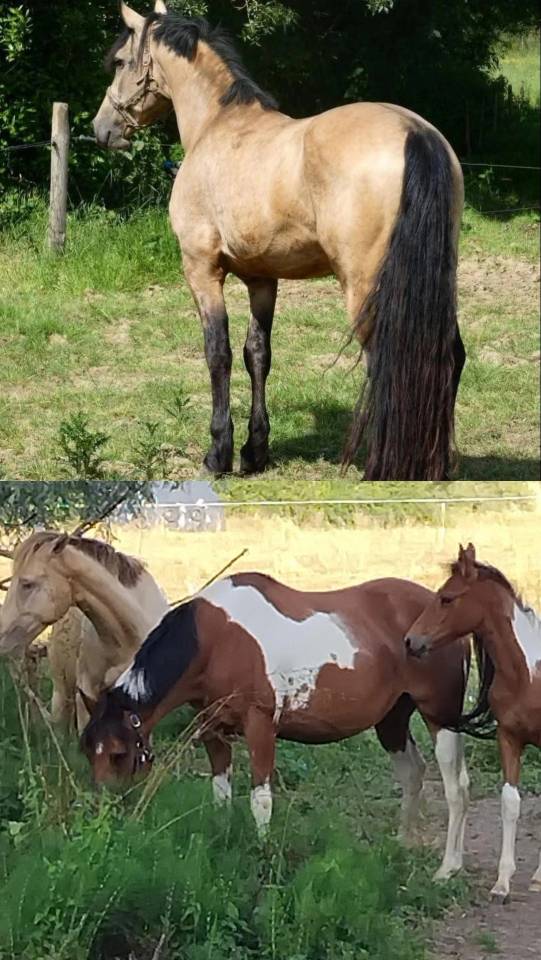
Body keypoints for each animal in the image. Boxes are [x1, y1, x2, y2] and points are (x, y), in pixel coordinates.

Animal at [81, 571, 471, 879]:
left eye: (118, 753)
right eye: (88, 751)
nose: (102, 818)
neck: (216, 639)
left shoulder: (261, 727)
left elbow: (261, 800)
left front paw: (264, 856)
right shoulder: (212, 729)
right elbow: (220, 793)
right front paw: (223, 840)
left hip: (440, 718)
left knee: (456, 786)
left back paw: (448, 868)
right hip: (392, 720)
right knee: (412, 773)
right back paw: (403, 843)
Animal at [92, 2, 465, 481]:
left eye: (121, 62)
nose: (102, 128)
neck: (219, 126)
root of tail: (413, 132)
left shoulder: (201, 269)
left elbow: (218, 353)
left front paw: (218, 454)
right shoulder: (261, 279)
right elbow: (258, 354)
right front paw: (255, 452)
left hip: (366, 286)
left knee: (389, 360)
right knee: (448, 355)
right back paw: (439, 464)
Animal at [405, 542, 541, 903]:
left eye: (447, 598)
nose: (410, 641)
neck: (529, 675)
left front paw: (537, 877)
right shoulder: (509, 738)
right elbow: (510, 803)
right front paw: (502, 883)